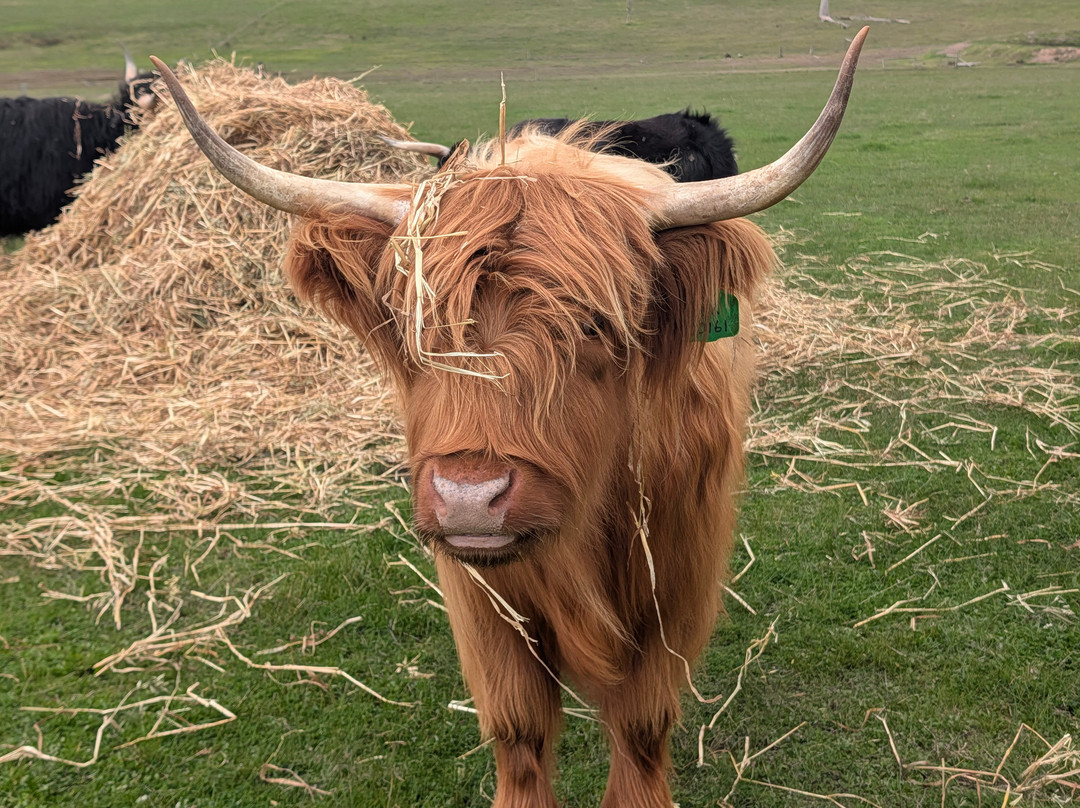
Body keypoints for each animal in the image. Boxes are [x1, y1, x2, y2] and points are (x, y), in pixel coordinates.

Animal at [152, 27, 866, 808]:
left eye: (594, 324)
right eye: (413, 323)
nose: (470, 497)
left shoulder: (676, 572)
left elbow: (642, 727)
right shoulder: (480, 593)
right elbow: (520, 730)